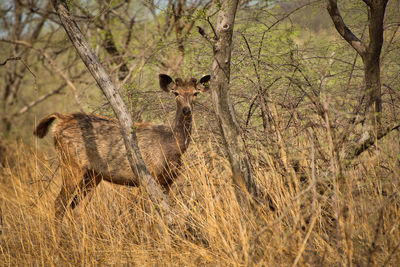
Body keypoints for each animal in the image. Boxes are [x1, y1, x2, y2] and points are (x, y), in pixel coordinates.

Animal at [32, 74, 211, 222]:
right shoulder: (148, 175)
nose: (186, 110)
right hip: (71, 164)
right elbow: (147, 214)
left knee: (75, 207)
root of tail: (61, 119)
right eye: (176, 93)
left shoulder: (168, 181)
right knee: (59, 204)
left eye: (195, 93)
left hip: (92, 175)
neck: (171, 146)